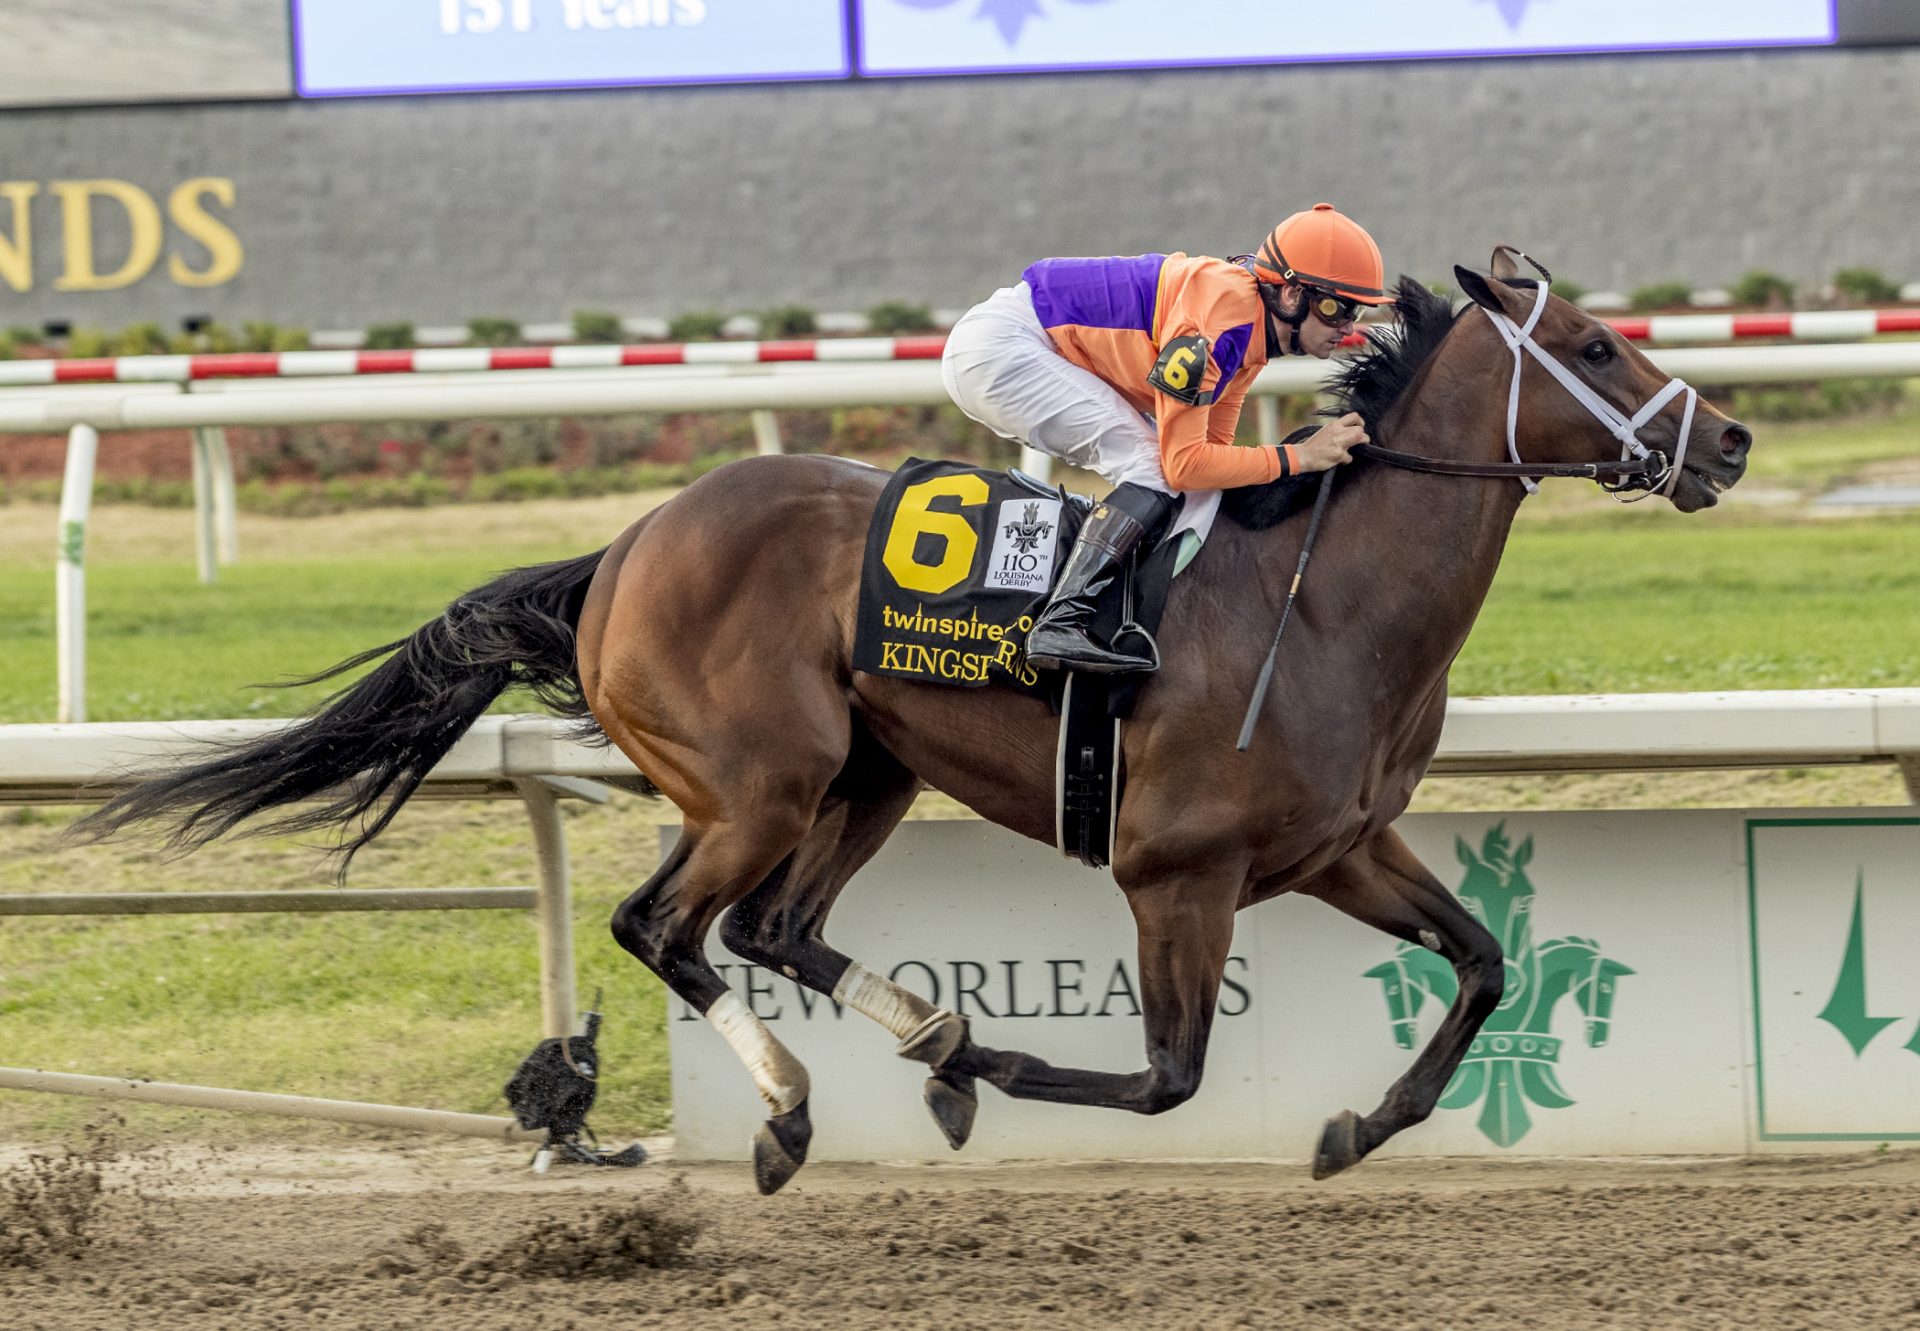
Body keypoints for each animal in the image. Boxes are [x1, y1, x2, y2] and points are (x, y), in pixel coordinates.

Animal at [74, 251, 1758, 1190]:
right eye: (1595, 348)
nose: (1732, 438)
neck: (1326, 600)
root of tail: (623, 548)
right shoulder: (1179, 872)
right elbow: (1166, 1075)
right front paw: (1004, 1066)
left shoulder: (1340, 845)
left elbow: (1483, 963)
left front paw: (1359, 1123)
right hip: (759, 780)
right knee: (665, 925)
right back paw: (800, 1107)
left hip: (867, 771)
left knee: (773, 928)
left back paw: (923, 1042)